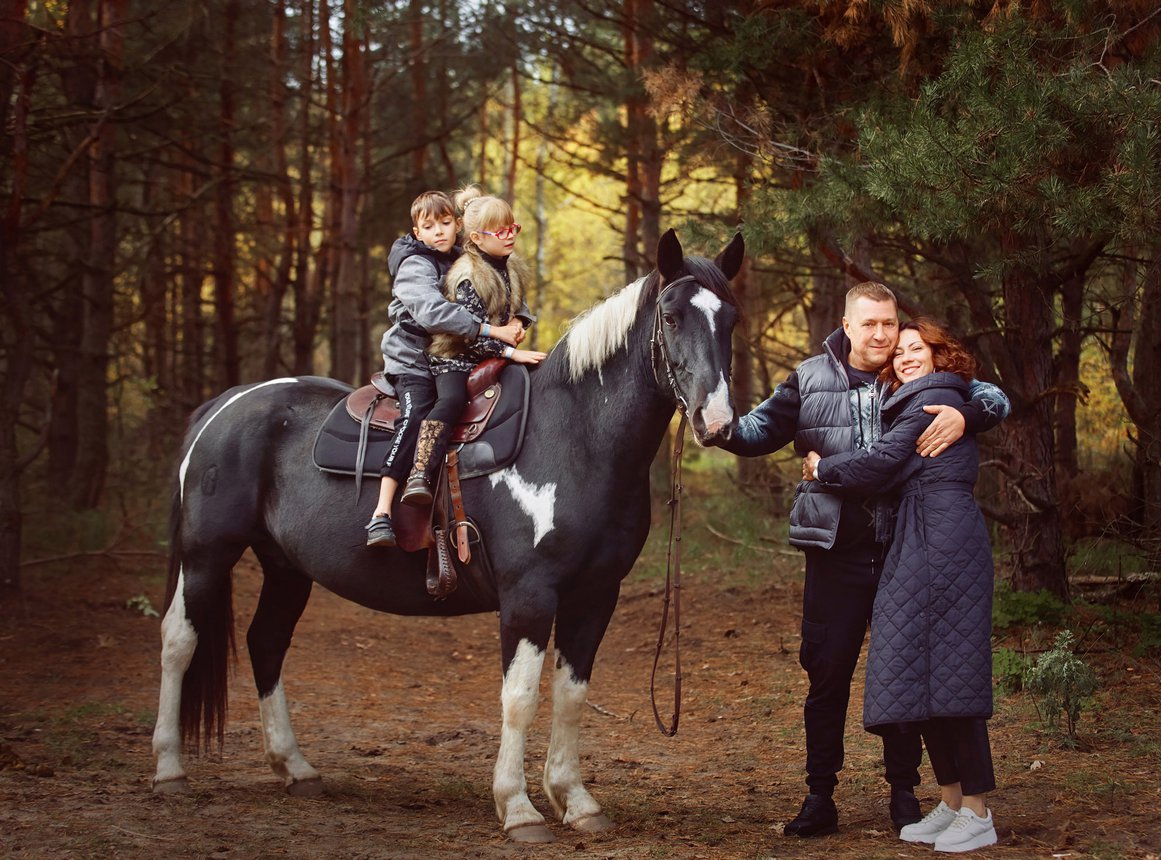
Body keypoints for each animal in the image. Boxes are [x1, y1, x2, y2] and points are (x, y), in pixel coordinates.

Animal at [149, 226, 743, 840]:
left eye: (731, 319)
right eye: (671, 316)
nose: (717, 422)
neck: (573, 435)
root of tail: (226, 405)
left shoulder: (596, 594)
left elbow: (571, 697)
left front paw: (576, 802)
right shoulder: (529, 595)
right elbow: (520, 697)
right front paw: (518, 808)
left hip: (286, 568)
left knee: (266, 643)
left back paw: (296, 769)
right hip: (206, 554)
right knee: (178, 639)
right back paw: (169, 770)